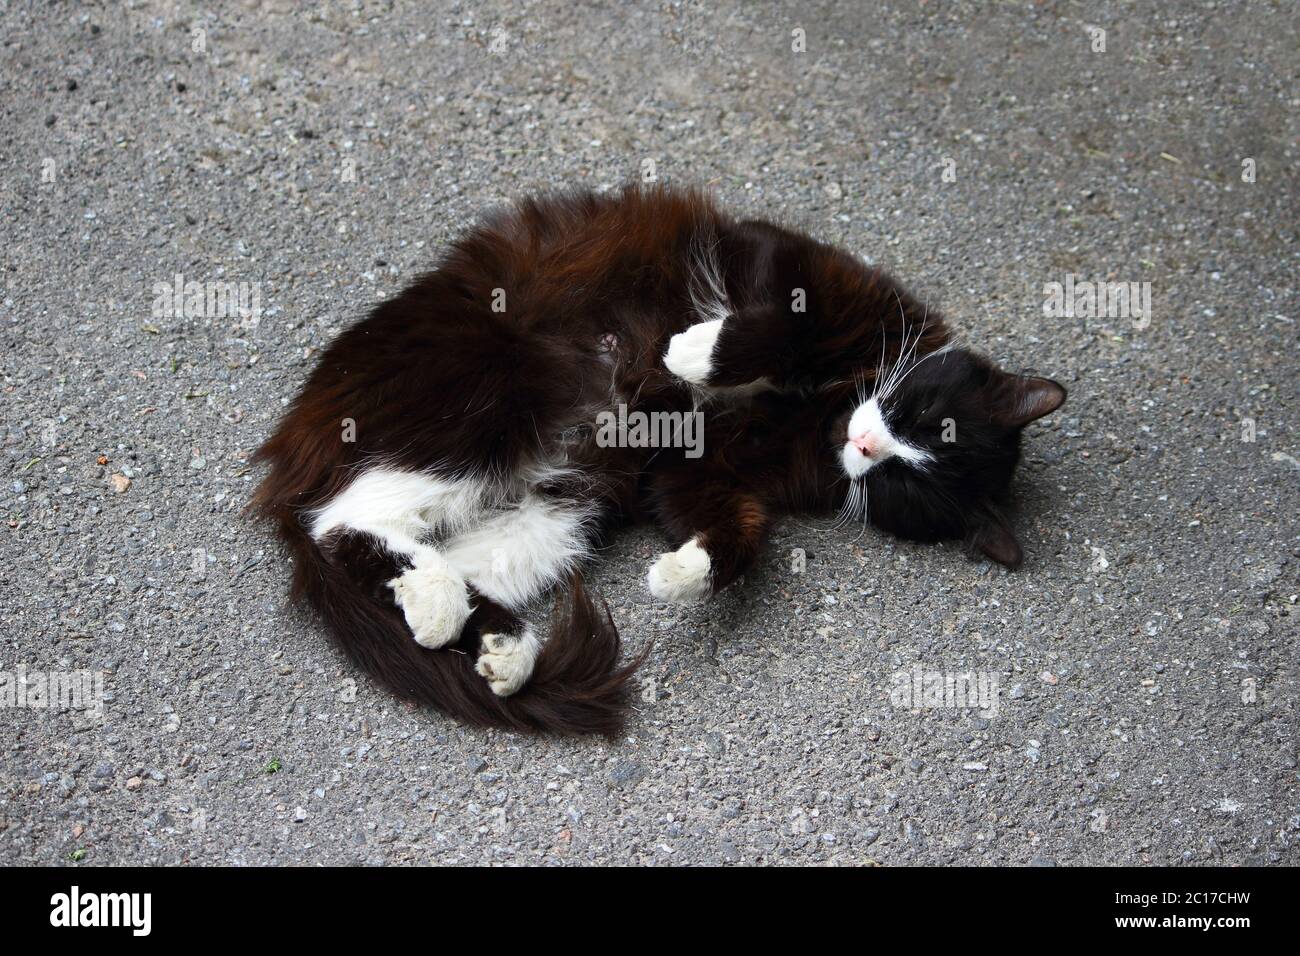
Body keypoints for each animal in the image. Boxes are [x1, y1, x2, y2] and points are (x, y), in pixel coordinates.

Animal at [250, 188, 1066, 738]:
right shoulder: (791, 263)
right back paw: (445, 607)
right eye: (923, 419)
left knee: (399, 542)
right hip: (492, 396)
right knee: (339, 518)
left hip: (565, 508)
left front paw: (676, 575)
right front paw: (693, 352)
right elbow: (787, 320)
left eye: (903, 480)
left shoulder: (694, 469)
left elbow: (737, 536)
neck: (821, 408)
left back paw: (494, 643)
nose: (868, 448)